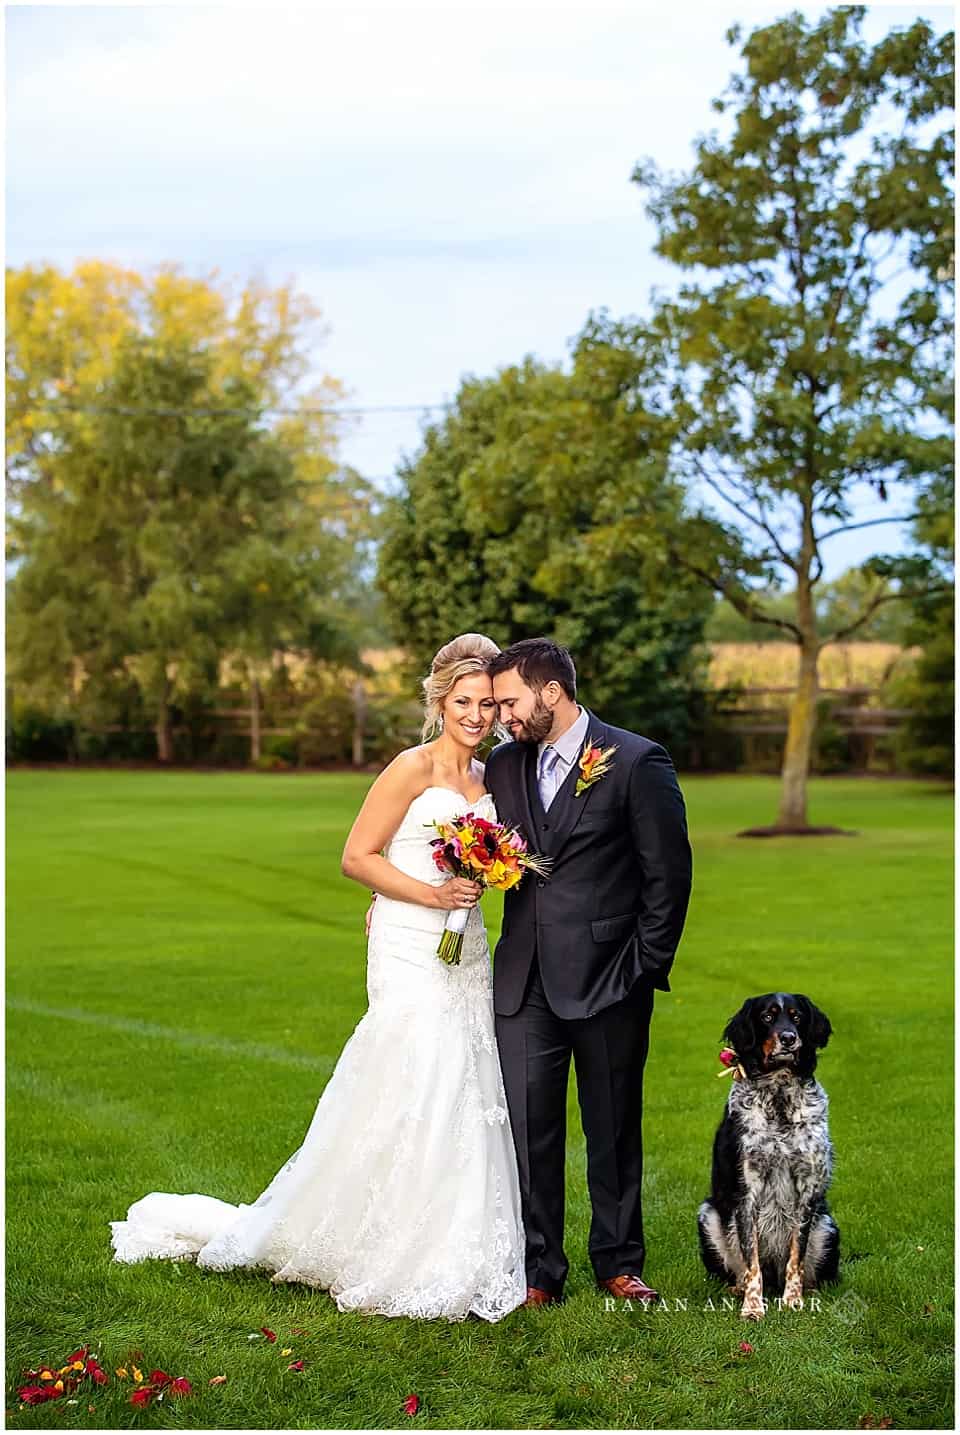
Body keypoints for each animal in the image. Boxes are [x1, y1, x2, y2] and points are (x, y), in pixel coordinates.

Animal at [697, 993, 838, 1314]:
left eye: (797, 1017)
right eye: (767, 1017)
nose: (788, 1038)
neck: (779, 1095)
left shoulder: (807, 1189)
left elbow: (797, 1255)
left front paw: (793, 1300)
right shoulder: (745, 1191)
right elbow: (752, 1262)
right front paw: (752, 1308)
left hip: (827, 1226)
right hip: (708, 1215)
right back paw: (738, 1289)